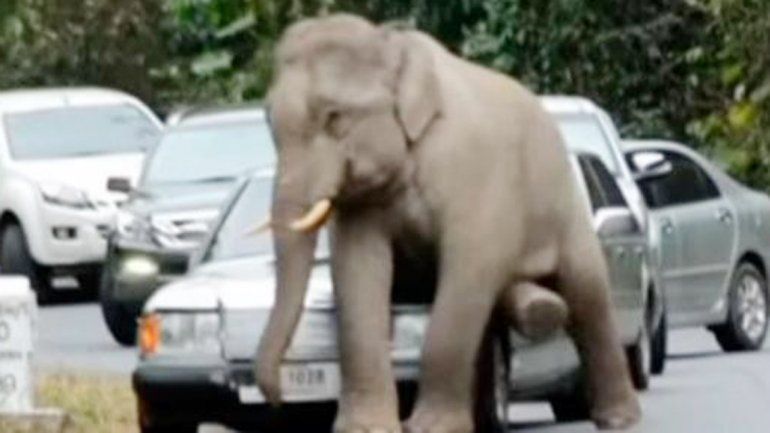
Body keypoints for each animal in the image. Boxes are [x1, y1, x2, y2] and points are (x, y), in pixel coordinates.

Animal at [254, 13, 641, 433]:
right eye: (268, 122)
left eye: (334, 118)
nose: (275, 399)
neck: (395, 46)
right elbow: (358, 272)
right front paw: (365, 428)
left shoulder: (475, 171)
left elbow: (469, 266)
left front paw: (429, 427)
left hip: (565, 205)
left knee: (587, 295)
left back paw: (618, 417)